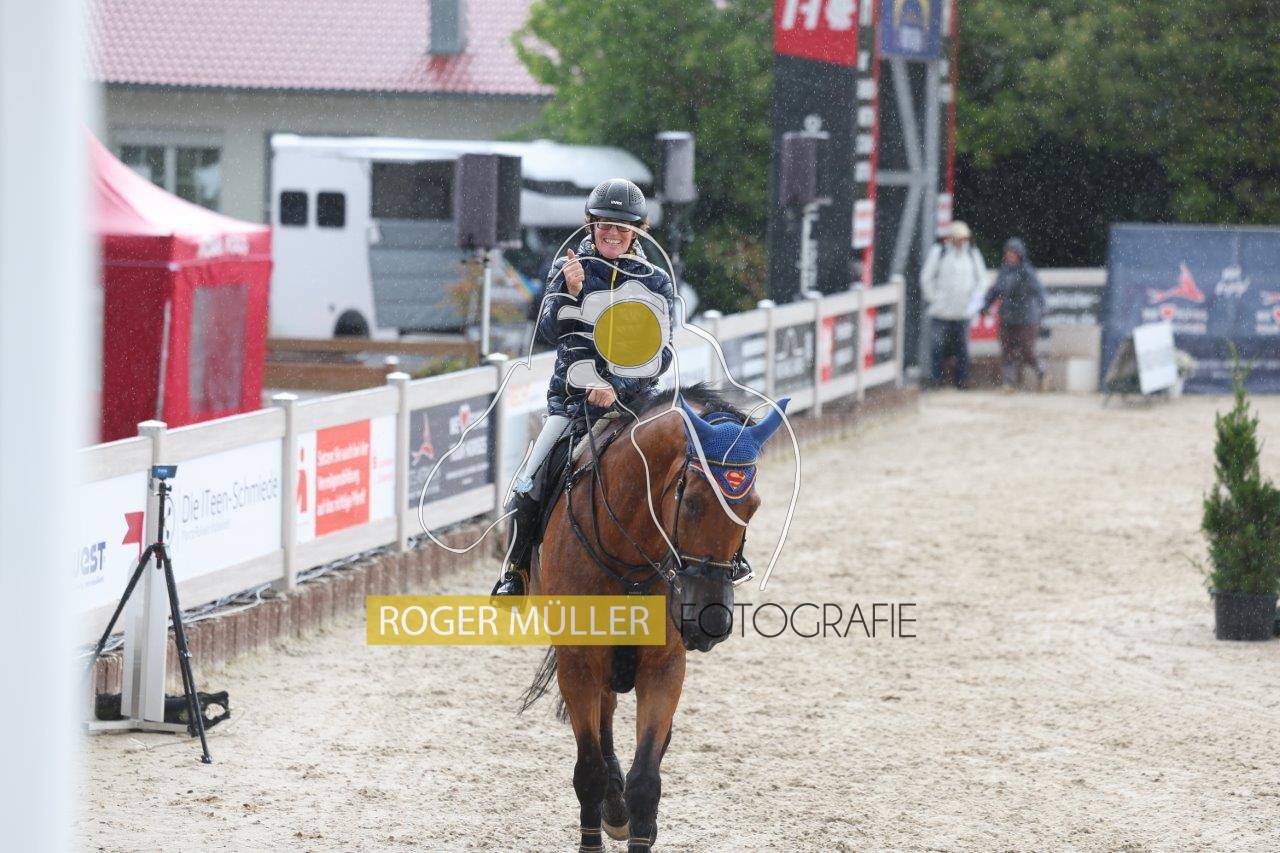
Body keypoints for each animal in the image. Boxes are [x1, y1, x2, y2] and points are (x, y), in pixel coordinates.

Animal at [518, 384, 790, 852]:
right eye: (693, 501)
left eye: (752, 506)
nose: (710, 619)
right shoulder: (578, 661)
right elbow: (588, 771)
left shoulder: (664, 665)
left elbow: (646, 780)